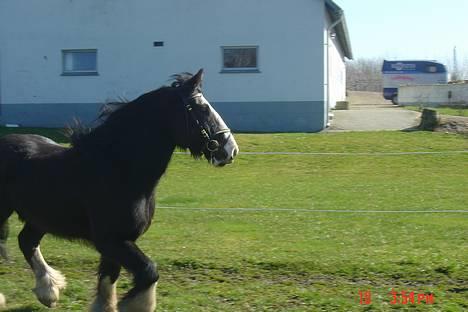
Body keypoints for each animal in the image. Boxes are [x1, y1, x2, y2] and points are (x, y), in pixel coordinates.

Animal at [0, 69, 238, 310]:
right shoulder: (110, 240)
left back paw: (49, 292)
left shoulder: (117, 243)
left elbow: (108, 279)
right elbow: (149, 271)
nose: (230, 150)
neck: (119, 169)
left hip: (40, 218)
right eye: (203, 108)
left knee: (26, 241)